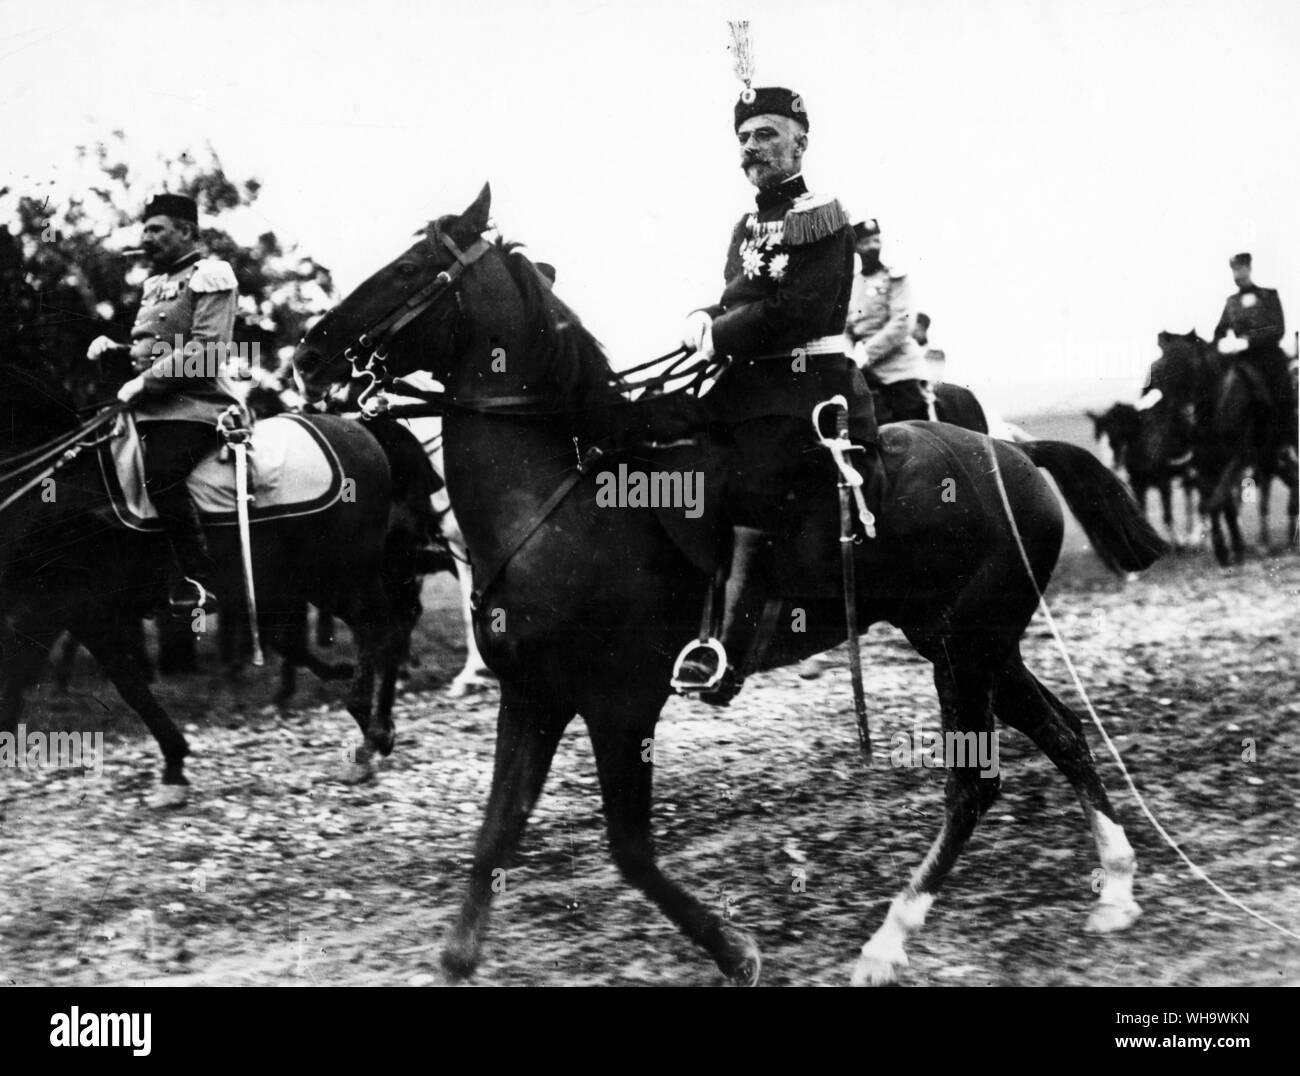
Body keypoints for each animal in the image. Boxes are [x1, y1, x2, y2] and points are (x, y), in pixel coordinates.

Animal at [0, 366, 436, 800]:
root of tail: (359, 428)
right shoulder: (51, 611)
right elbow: (109, 684)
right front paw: (174, 762)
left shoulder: (58, 608)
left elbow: (110, 685)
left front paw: (174, 763)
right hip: (308, 577)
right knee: (378, 629)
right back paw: (373, 722)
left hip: (339, 573)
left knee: (379, 627)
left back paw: (369, 734)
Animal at [295, 184, 1170, 982]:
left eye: (411, 266)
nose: (308, 353)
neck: (560, 503)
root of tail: (1016, 452)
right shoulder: (536, 693)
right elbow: (495, 833)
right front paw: (456, 956)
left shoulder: (619, 704)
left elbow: (630, 849)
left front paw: (736, 951)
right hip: (974, 644)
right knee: (1062, 732)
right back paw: (1116, 890)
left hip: (965, 651)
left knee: (973, 784)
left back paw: (887, 942)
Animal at [1154, 327, 1294, 563]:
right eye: (1161, 370)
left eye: (1191, 365)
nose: (1183, 417)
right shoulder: (1205, 462)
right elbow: (1221, 503)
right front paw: (1230, 548)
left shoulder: (1238, 458)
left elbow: (1216, 501)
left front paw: (1225, 547)